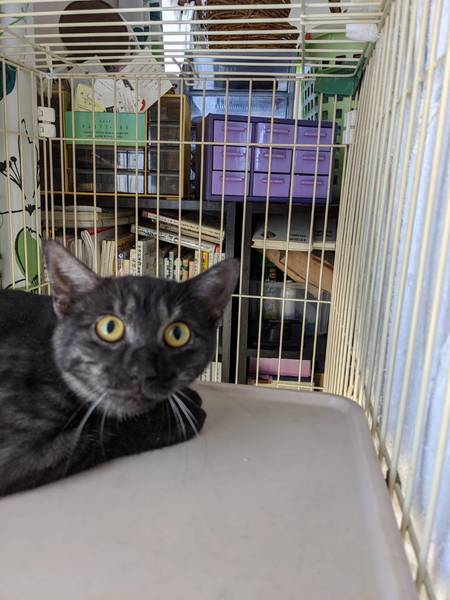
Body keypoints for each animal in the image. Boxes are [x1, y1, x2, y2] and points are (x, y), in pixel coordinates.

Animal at [0, 240, 239, 497]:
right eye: (109, 327)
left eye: (178, 334)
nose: (142, 370)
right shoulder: (21, 453)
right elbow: (103, 432)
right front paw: (183, 414)